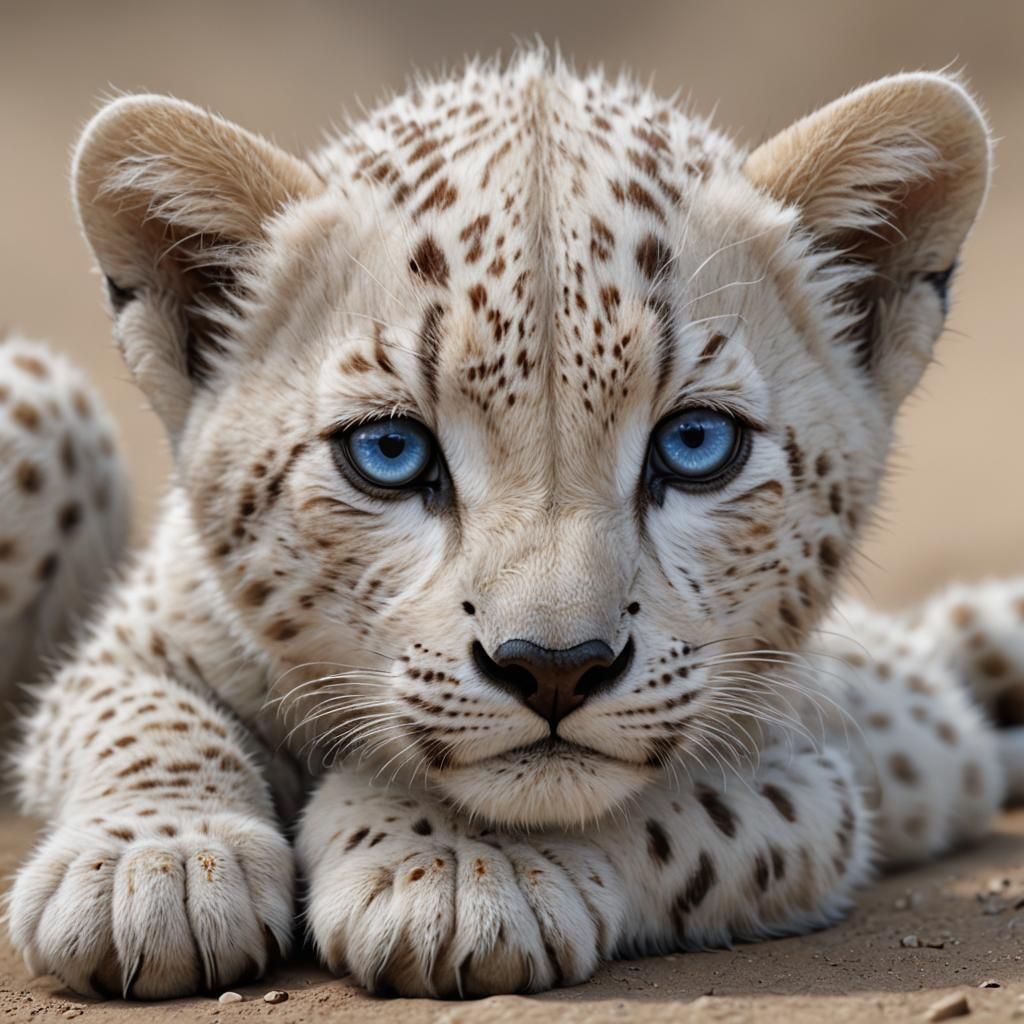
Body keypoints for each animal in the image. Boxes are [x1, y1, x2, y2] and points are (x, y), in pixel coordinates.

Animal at [5, 51, 1024, 1001]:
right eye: (389, 451)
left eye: (696, 443)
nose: (555, 669)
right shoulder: (132, 643)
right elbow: (139, 711)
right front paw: (157, 861)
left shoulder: (808, 779)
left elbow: (665, 805)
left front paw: (459, 865)